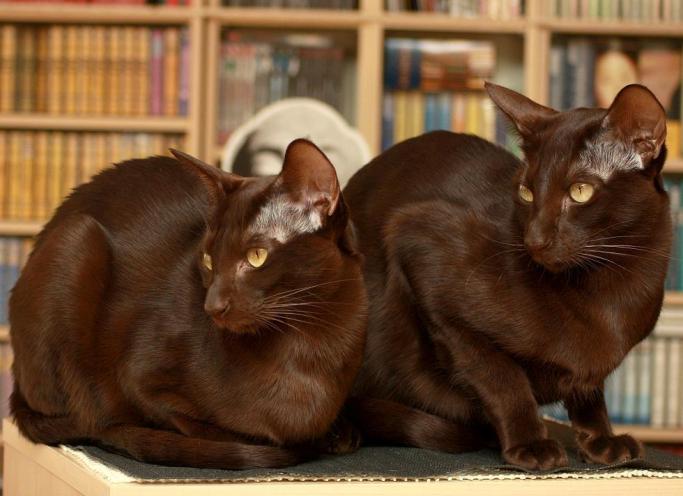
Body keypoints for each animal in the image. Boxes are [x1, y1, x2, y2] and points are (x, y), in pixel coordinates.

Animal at [9, 139, 367, 469]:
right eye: (208, 259)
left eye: (256, 256)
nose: (211, 306)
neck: (309, 341)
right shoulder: (140, 382)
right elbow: (204, 425)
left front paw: (338, 432)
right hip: (77, 242)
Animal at [343, 84, 670, 470]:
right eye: (526, 192)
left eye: (580, 192)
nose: (535, 239)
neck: (611, 292)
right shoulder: (419, 248)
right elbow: (502, 378)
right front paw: (530, 443)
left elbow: (590, 390)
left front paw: (600, 439)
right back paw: (340, 435)